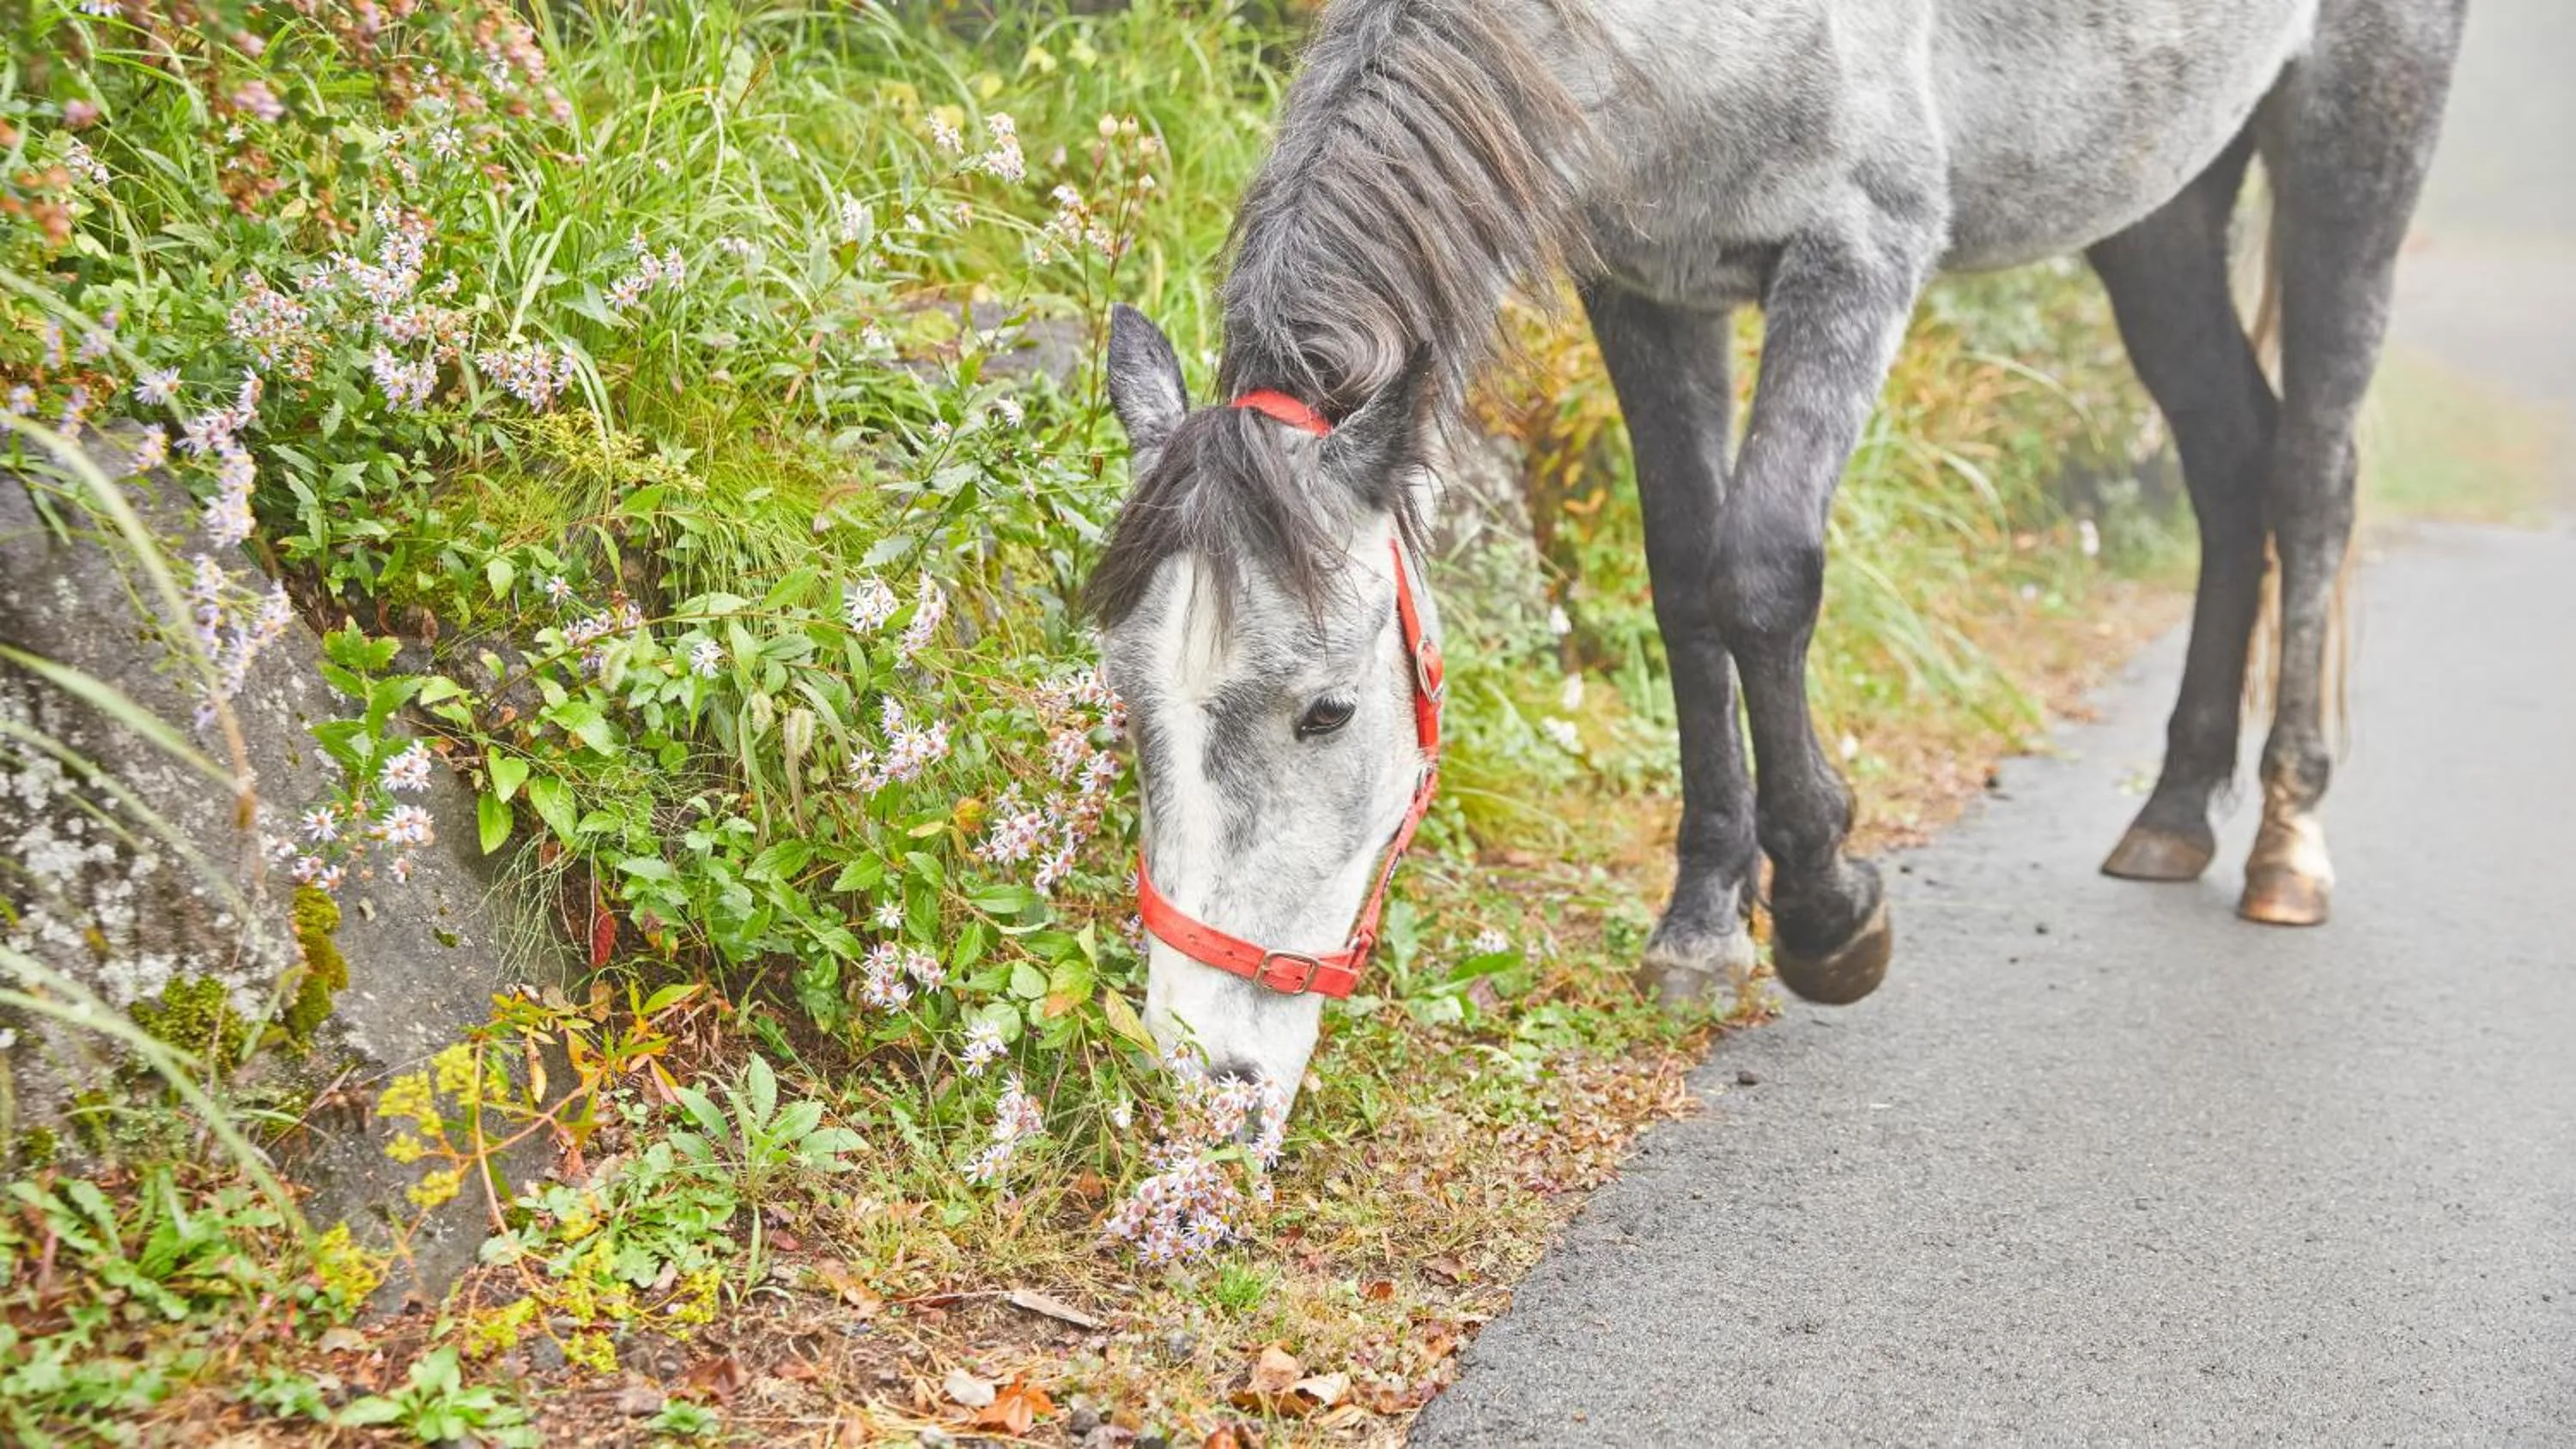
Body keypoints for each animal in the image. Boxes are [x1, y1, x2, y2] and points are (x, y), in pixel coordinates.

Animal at [1087, 0, 2465, 1105]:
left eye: (1326, 711)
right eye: (1126, 701)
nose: (1205, 1072)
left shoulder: (1857, 253)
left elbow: (1758, 575)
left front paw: (1825, 907)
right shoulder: (1651, 292)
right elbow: (1682, 579)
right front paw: (1704, 921)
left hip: (2354, 139)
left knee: (2312, 477)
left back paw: (2286, 837)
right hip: (2161, 206)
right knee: (2229, 469)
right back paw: (2175, 811)